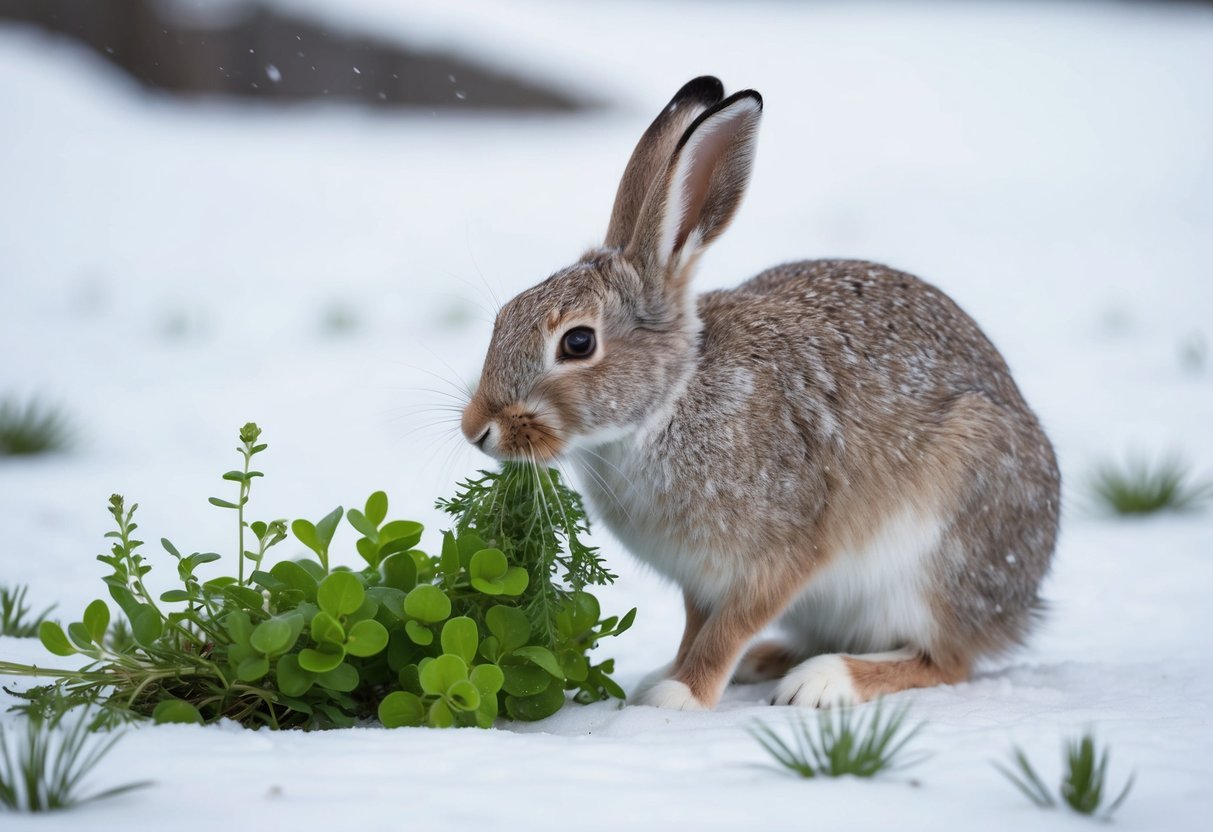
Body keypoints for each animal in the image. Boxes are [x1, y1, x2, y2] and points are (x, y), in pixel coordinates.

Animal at [459, 76, 1060, 710]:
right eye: (504, 315)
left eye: (578, 343)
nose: (476, 428)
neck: (667, 405)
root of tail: (1018, 610)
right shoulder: (700, 579)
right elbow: (699, 626)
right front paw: (665, 676)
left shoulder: (783, 554)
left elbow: (729, 627)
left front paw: (679, 696)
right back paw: (768, 662)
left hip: (936, 559)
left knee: (944, 661)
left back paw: (822, 681)